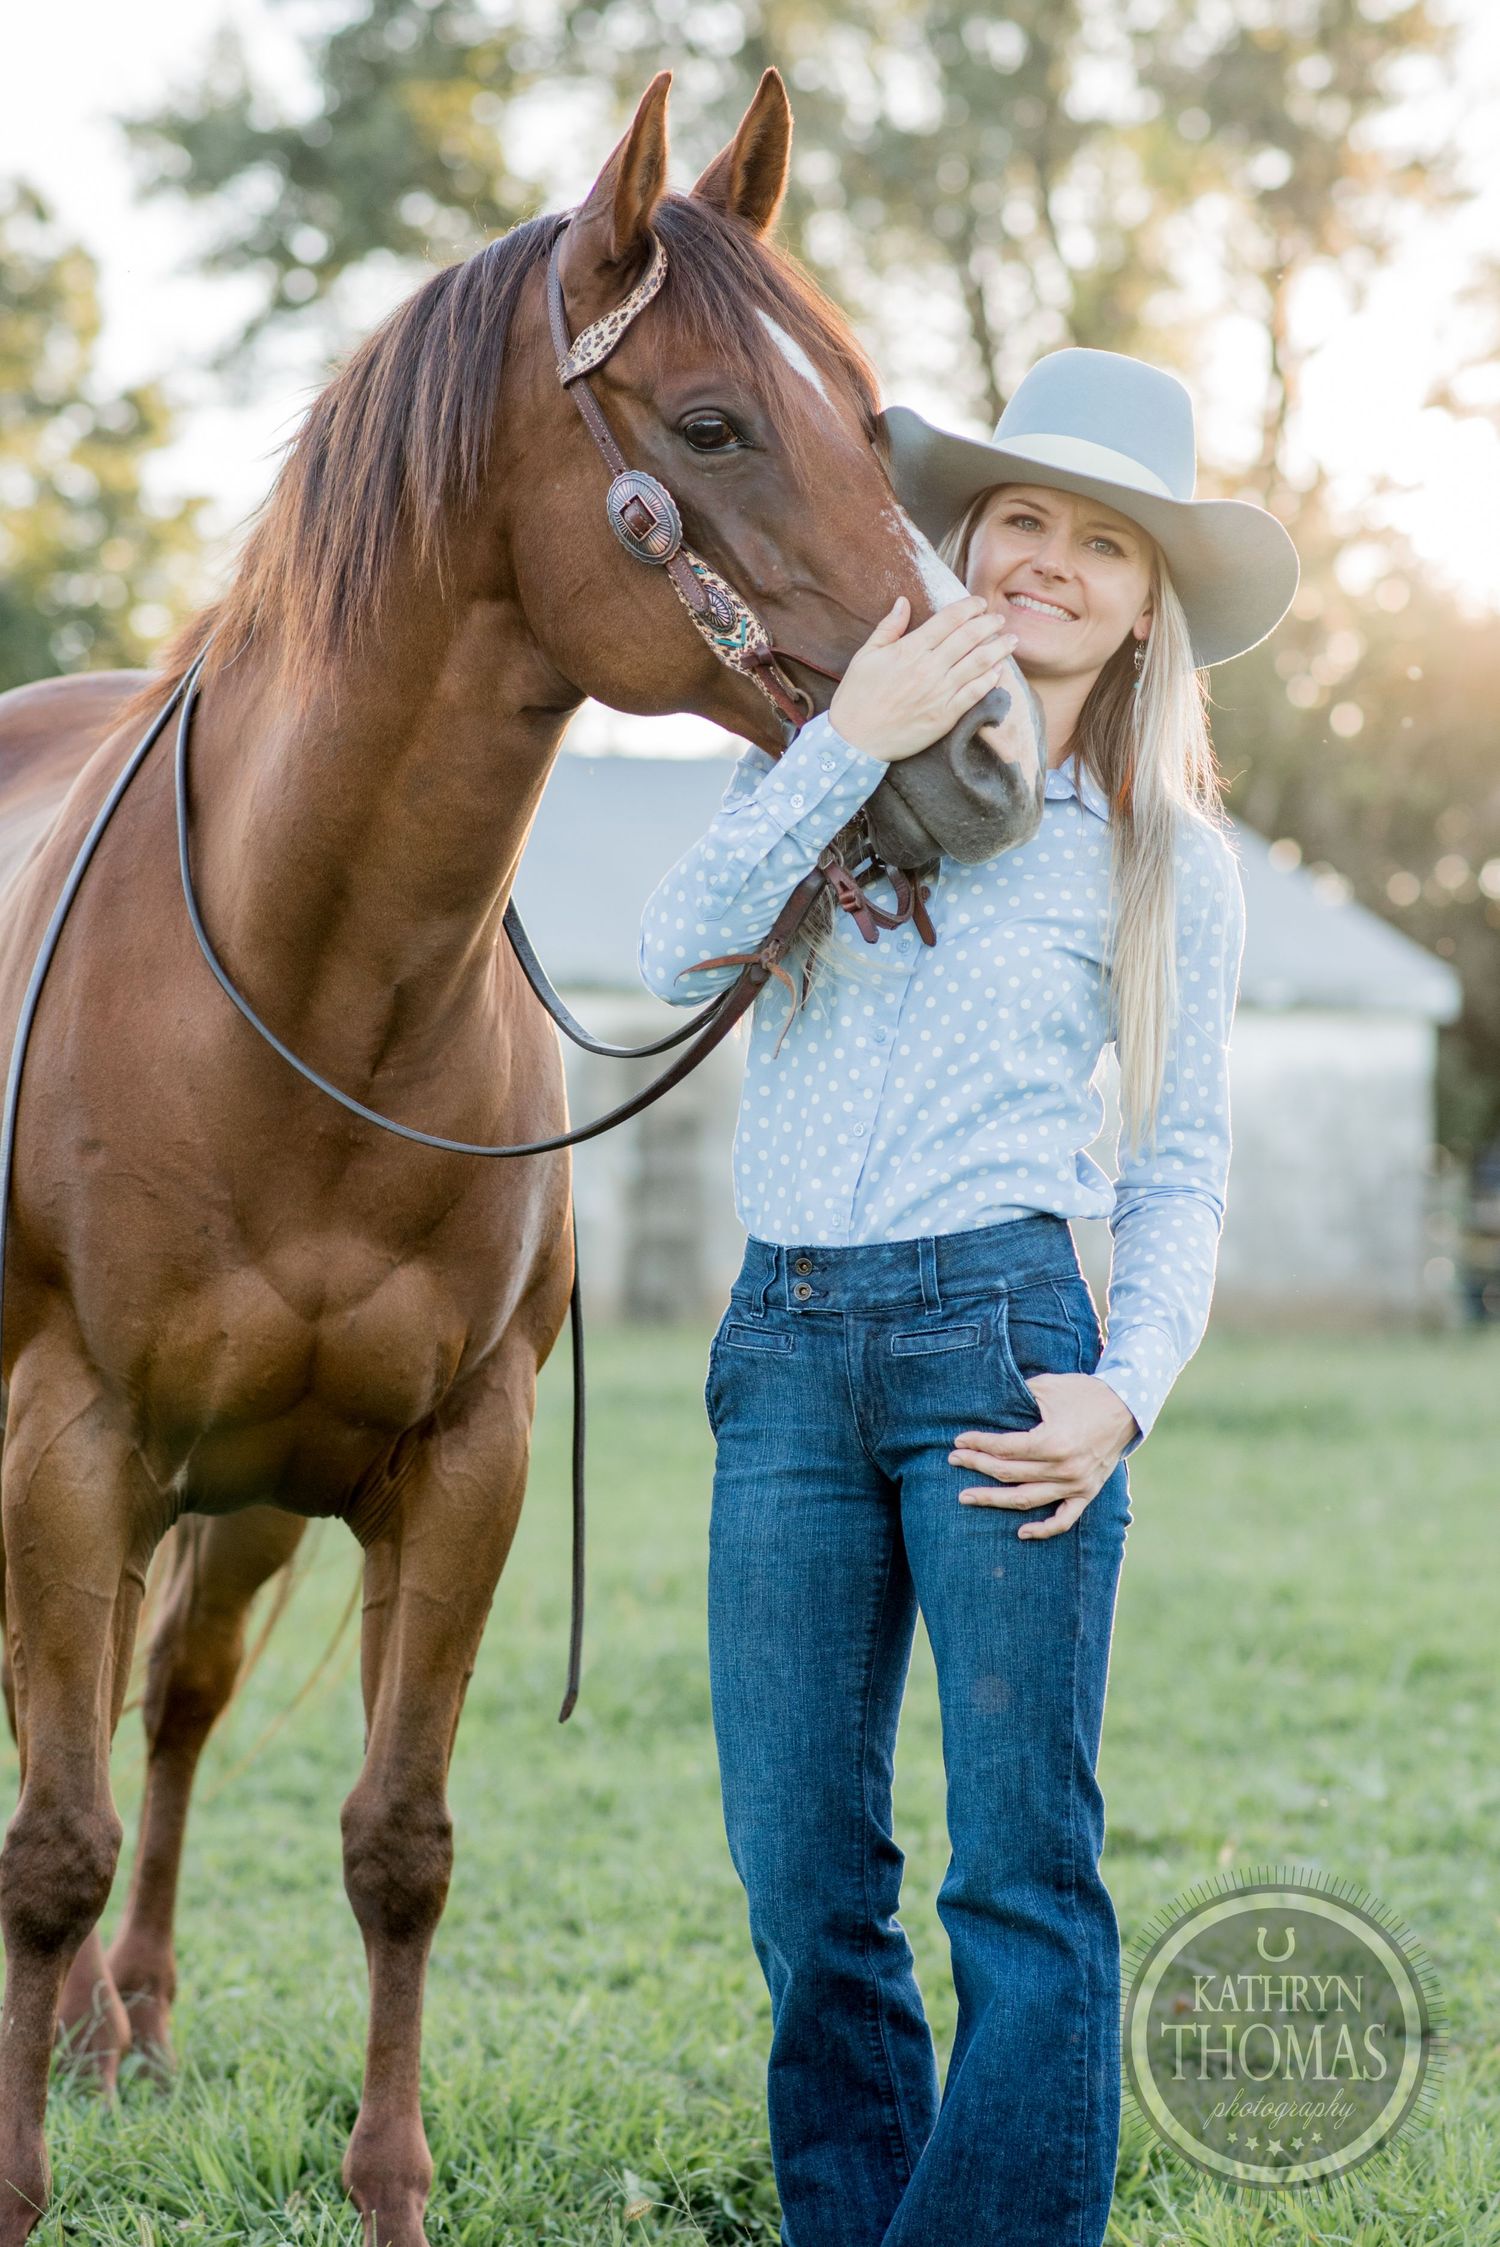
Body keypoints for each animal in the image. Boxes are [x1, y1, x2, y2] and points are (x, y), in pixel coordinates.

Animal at [0, 67, 1044, 2244]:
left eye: (869, 411)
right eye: (714, 425)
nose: (991, 756)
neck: (310, 993)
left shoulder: (455, 1461)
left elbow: (396, 1838)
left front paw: (384, 2188)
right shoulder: (66, 1443)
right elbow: (41, 1843)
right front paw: (15, 2180)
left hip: (242, 1498)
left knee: (174, 1703)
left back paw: (127, 2028)